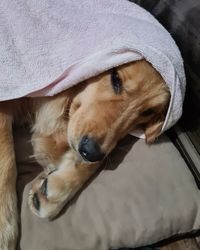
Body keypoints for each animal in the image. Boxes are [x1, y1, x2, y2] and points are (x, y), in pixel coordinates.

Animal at [0, 59, 170, 249]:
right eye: (116, 79)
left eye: (148, 111)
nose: (91, 152)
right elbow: (6, 158)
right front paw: (4, 228)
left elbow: (96, 159)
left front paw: (57, 186)